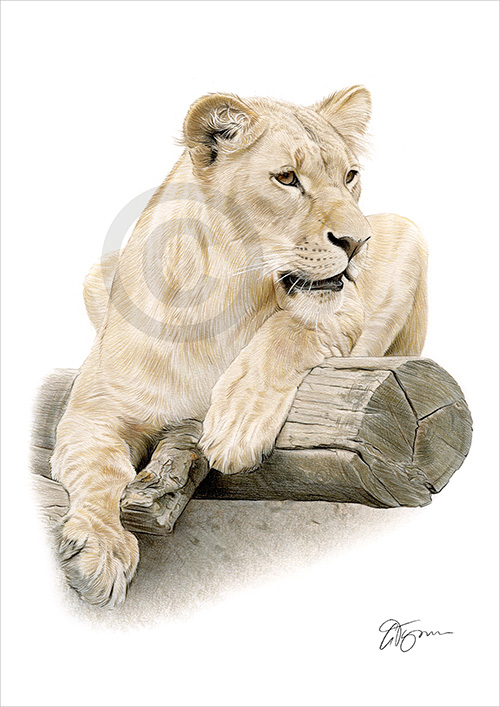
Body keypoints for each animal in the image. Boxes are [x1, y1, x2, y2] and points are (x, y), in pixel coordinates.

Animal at [51, 87, 428, 607]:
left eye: (350, 177)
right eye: (287, 178)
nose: (357, 242)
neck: (225, 296)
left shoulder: (344, 306)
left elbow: (290, 329)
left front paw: (235, 427)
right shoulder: (93, 410)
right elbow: (98, 469)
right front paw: (99, 551)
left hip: (408, 232)